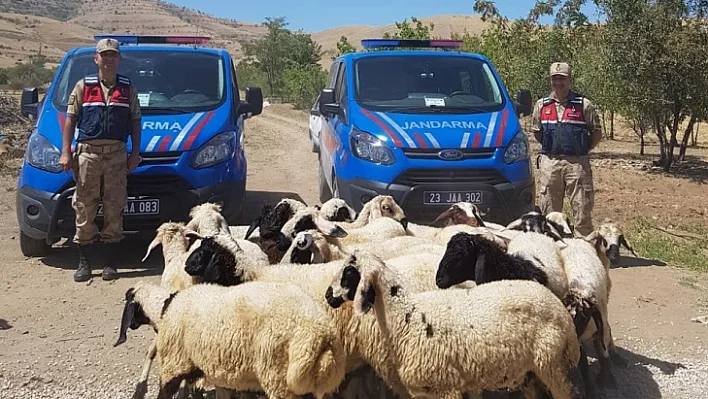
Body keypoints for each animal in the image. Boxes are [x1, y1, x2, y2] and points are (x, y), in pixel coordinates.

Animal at [324, 252, 584, 399]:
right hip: (531, 371)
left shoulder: (445, 386)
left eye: (349, 273)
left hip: (551, 363)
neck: (406, 319)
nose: (327, 295)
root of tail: (562, 313)